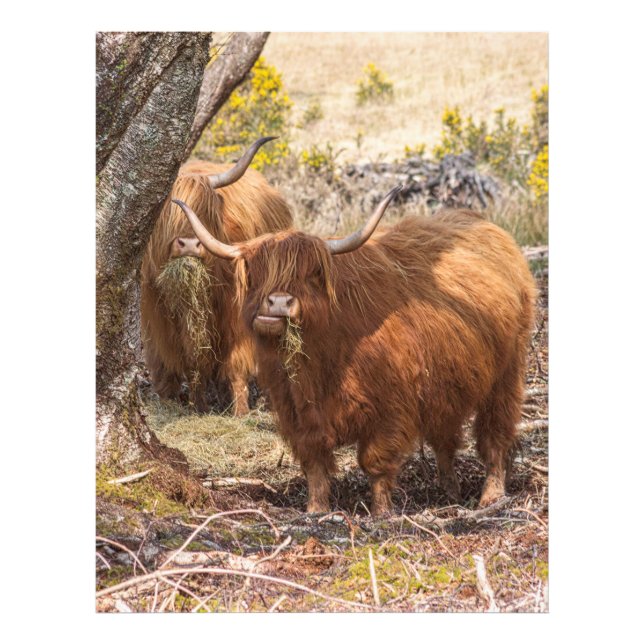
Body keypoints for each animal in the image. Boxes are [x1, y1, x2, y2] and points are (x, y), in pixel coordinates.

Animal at [140, 137, 293, 415]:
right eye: (166, 213)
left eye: (204, 209)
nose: (189, 245)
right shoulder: (160, 319)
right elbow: (188, 365)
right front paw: (194, 405)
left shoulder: (237, 316)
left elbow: (236, 365)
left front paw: (240, 411)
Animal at [173, 187, 537, 515]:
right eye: (256, 270)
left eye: (313, 274)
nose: (277, 303)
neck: (321, 361)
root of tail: (487, 227)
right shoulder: (295, 409)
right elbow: (314, 462)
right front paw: (316, 510)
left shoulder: (390, 407)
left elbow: (375, 462)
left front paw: (381, 513)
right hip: (448, 379)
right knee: (445, 437)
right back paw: (450, 492)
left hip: (507, 373)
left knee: (495, 434)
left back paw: (491, 496)